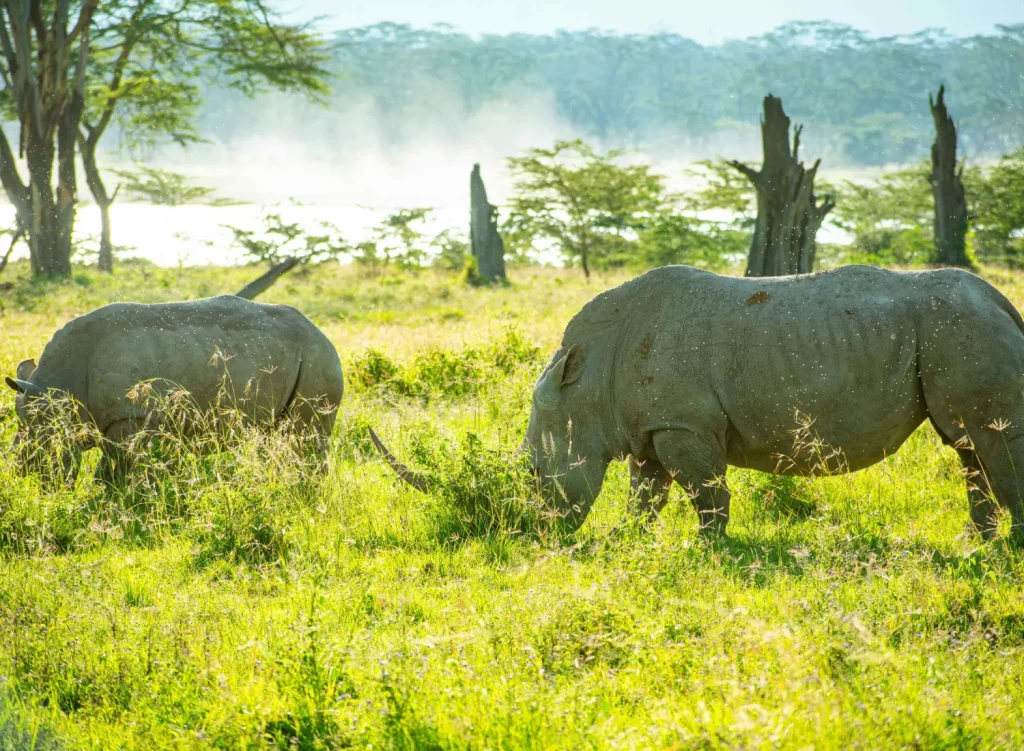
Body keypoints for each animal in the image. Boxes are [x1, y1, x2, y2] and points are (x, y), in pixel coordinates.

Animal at [6, 295, 344, 484]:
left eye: (37, 433)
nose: (20, 472)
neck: (58, 385)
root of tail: (321, 331)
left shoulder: (132, 416)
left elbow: (117, 468)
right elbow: (113, 468)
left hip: (316, 355)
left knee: (305, 437)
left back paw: (304, 493)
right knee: (274, 438)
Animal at [373, 265, 1024, 541]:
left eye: (534, 473)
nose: (528, 535)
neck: (584, 384)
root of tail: (1002, 302)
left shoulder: (683, 423)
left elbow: (705, 493)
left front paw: (709, 550)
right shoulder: (647, 429)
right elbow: (646, 496)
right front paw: (629, 544)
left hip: (961, 328)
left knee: (988, 438)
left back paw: (1007, 550)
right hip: (956, 330)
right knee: (968, 446)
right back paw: (977, 545)